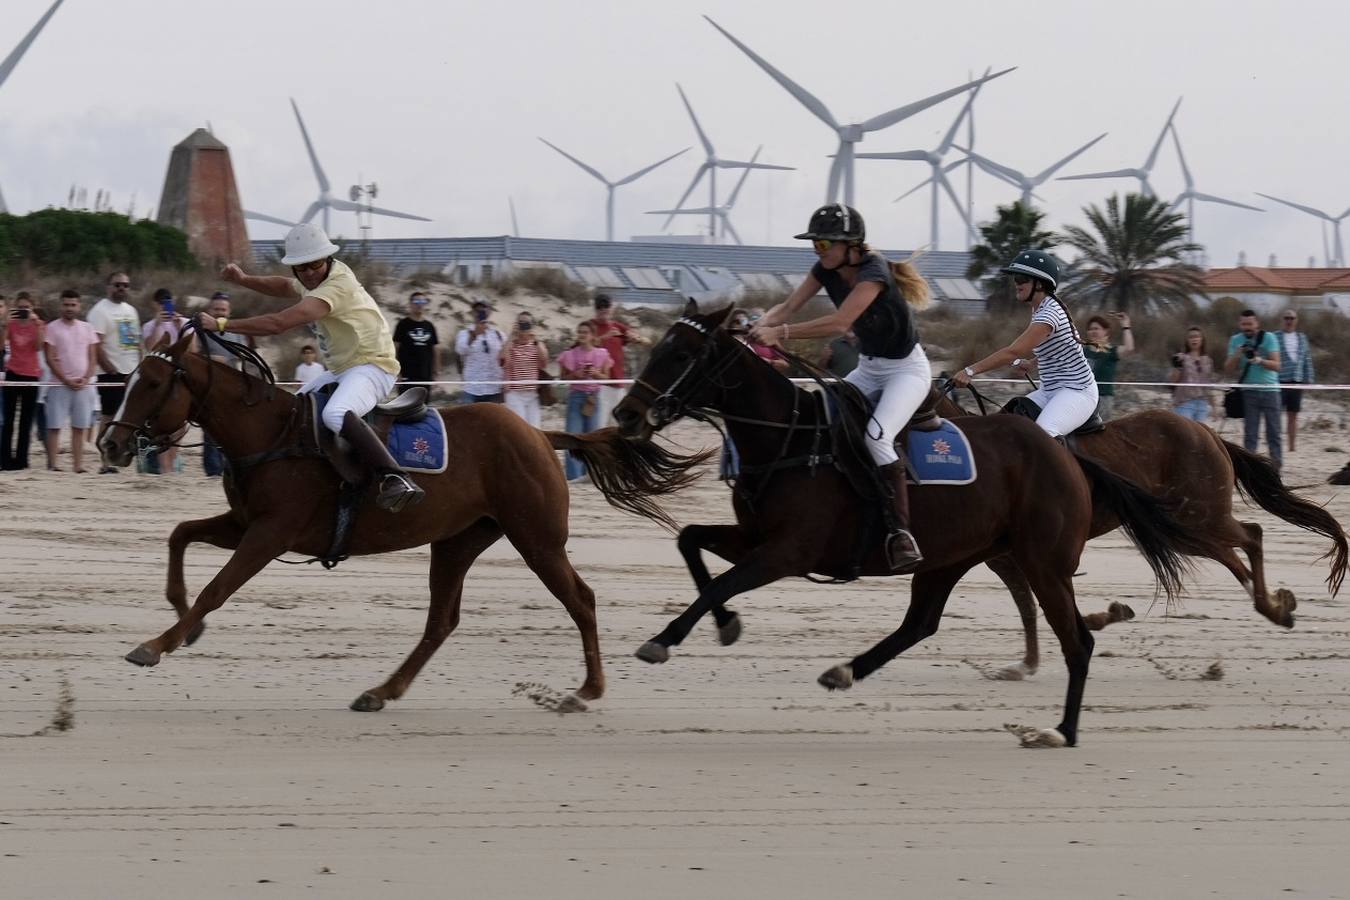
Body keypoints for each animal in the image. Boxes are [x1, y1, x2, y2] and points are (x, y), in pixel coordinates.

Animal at [96, 334, 707, 712]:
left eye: (153, 384)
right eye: (128, 378)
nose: (111, 444)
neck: (270, 433)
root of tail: (539, 433)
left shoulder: (268, 535)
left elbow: (217, 589)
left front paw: (156, 643)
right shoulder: (243, 522)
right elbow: (180, 535)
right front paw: (182, 622)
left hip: (537, 538)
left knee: (580, 599)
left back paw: (588, 689)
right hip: (458, 542)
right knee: (442, 621)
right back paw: (382, 690)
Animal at [602, 306, 1204, 750]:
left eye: (682, 353)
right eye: (657, 347)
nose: (626, 414)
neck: (793, 441)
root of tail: (1066, 455)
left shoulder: (788, 552)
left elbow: (721, 582)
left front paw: (663, 640)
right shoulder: (753, 537)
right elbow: (691, 543)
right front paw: (725, 625)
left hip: (1043, 561)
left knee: (1076, 640)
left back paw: (1062, 730)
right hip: (953, 557)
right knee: (921, 623)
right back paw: (846, 670)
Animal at [939, 391, 1350, 680]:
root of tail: (1207, 432)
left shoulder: (1030, 560)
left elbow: (1039, 604)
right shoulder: (1007, 561)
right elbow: (1029, 605)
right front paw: (1026, 663)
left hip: (1201, 516)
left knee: (1251, 535)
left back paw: (1273, 607)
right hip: (1182, 528)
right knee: (1233, 553)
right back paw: (1277, 605)